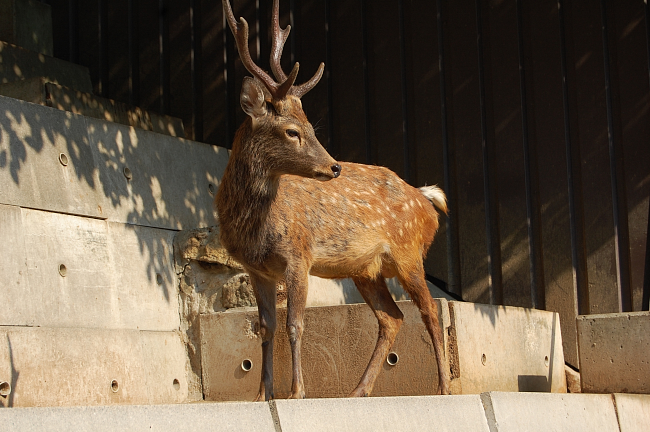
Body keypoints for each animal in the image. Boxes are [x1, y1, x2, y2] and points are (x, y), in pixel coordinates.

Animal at [215, 0, 448, 402]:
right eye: (292, 131)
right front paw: (262, 395)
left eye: (312, 128)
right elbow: (266, 328)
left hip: (409, 252)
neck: (256, 226)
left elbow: (295, 324)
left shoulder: (299, 253)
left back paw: (443, 386)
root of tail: (426, 199)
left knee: (430, 309)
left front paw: (296, 392)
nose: (334, 166)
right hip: (365, 270)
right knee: (393, 318)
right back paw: (358, 390)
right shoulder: (256, 268)